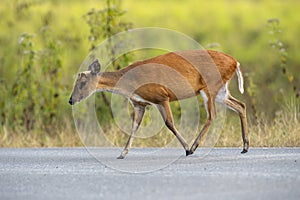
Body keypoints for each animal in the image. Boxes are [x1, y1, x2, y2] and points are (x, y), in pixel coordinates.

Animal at [69, 49, 250, 159]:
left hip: (210, 86)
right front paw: (123, 153)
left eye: (82, 83)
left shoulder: (161, 96)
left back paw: (194, 147)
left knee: (213, 115)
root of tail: (235, 62)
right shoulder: (139, 104)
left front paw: (186, 148)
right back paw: (245, 146)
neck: (129, 83)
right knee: (240, 105)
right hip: (220, 90)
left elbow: (169, 123)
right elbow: (134, 127)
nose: (71, 100)